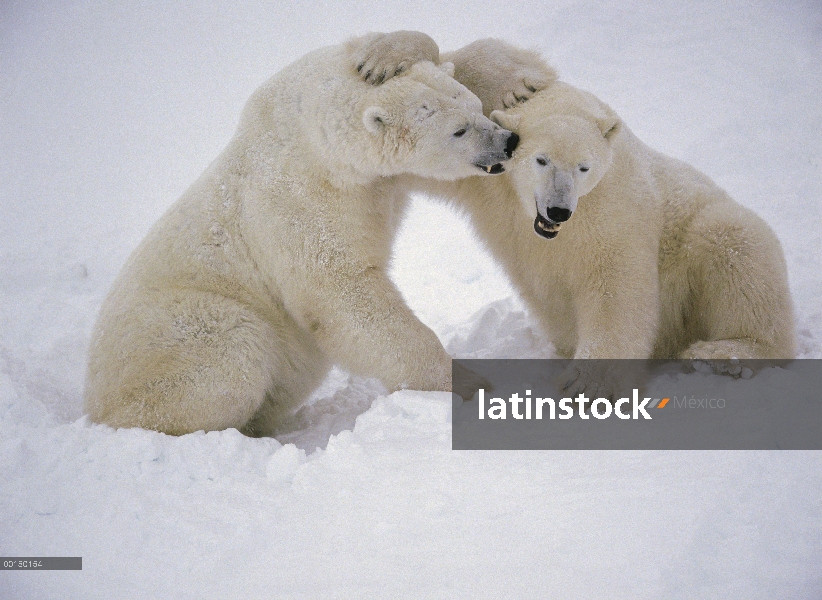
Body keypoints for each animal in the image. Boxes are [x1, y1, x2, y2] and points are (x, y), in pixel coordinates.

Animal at [82, 34, 516, 436]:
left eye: (475, 107)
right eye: (458, 131)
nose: (507, 141)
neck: (314, 132)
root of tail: (94, 400)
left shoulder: (374, 179)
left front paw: (392, 53)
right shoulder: (298, 198)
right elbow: (343, 294)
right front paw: (468, 382)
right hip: (183, 328)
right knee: (232, 358)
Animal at [360, 35, 800, 396]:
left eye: (584, 168)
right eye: (540, 160)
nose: (558, 209)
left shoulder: (610, 202)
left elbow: (615, 284)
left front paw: (585, 382)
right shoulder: (486, 176)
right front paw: (385, 57)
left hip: (698, 238)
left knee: (737, 247)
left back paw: (724, 352)